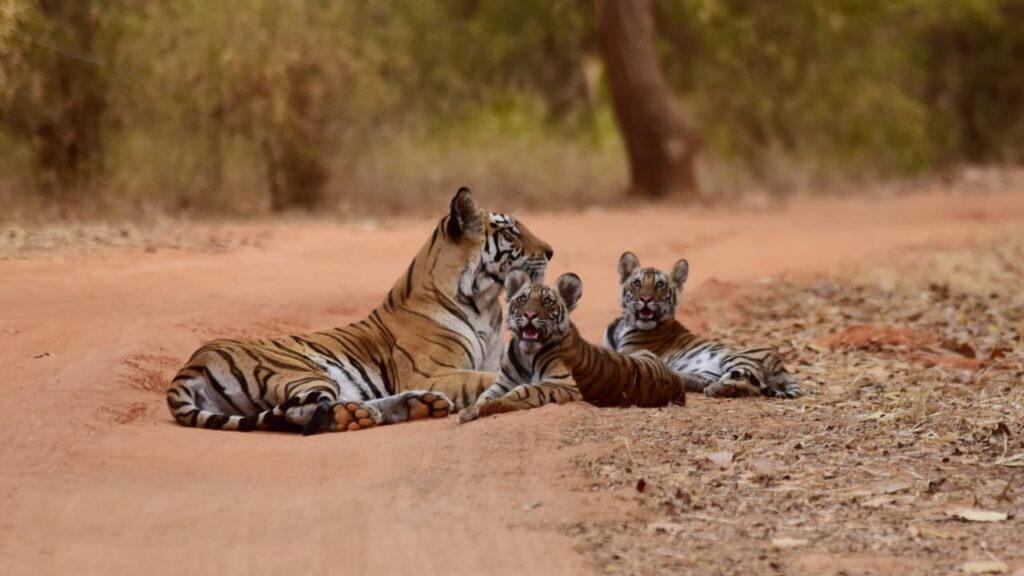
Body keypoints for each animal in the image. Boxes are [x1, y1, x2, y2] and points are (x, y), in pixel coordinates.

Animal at [165, 186, 552, 432]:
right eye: (511, 232)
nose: (551, 251)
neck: (486, 303)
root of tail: (191, 364)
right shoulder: (432, 372)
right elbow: (486, 379)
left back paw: (419, 406)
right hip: (301, 371)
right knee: (303, 412)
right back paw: (362, 416)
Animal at [458, 268, 684, 422]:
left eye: (547, 302)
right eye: (522, 298)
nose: (529, 315)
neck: (527, 354)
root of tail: (676, 381)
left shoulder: (563, 384)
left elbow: (524, 390)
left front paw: (487, 407)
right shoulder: (503, 382)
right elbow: (484, 395)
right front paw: (470, 410)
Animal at [602, 251, 802, 399]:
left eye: (659, 285)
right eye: (637, 283)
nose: (646, 299)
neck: (625, 324)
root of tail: (781, 365)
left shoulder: (630, 353)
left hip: (734, 358)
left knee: (744, 380)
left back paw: (716, 388)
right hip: (707, 371)